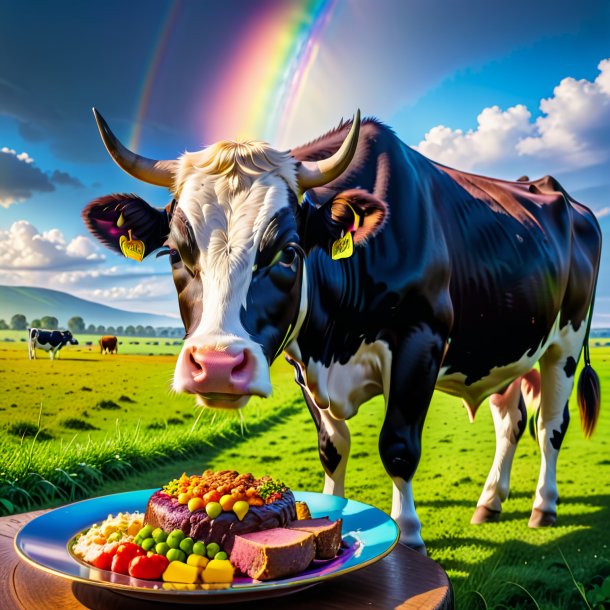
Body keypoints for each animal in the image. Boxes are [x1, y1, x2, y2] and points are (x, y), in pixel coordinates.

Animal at [81, 109, 600, 552]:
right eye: (173, 252)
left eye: (289, 252)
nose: (217, 366)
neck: (332, 340)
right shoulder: (301, 359)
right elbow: (332, 448)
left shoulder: (421, 339)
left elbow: (397, 446)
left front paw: (408, 537)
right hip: (505, 347)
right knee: (511, 421)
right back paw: (490, 502)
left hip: (566, 342)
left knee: (550, 426)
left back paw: (543, 506)